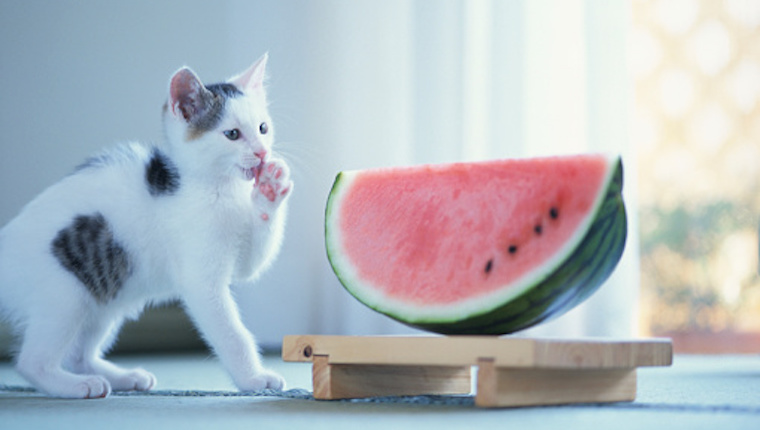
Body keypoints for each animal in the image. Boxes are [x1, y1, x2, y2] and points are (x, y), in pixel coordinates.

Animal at [0, 53, 292, 400]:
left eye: (263, 128)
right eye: (232, 134)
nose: (262, 152)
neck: (219, 188)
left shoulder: (244, 257)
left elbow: (253, 263)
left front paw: (271, 189)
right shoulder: (200, 279)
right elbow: (232, 334)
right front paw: (253, 379)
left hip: (106, 291)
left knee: (77, 354)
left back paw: (120, 377)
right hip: (64, 293)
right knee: (31, 361)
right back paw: (75, 385)